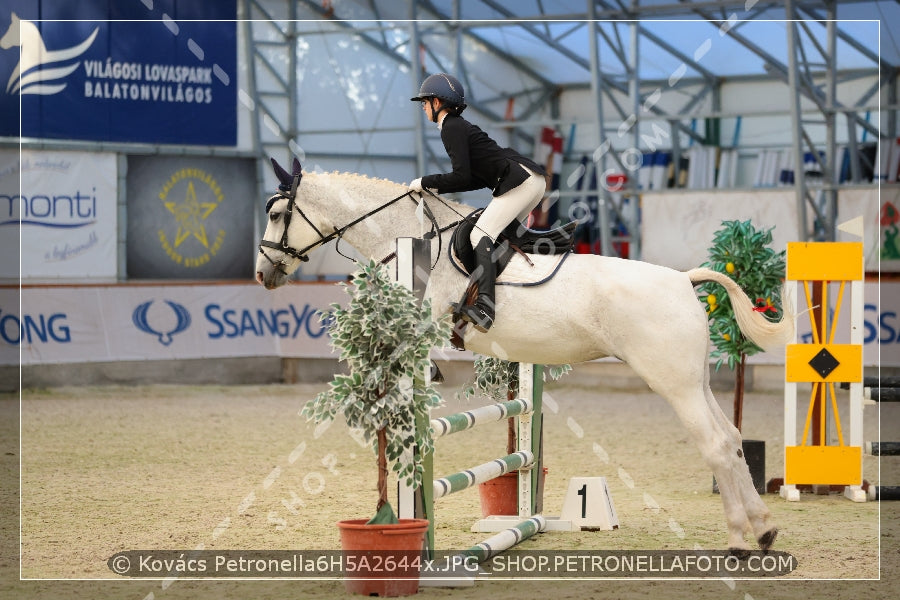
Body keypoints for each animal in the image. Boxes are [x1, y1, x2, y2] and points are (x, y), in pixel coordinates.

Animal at [255, 158, 796, 552]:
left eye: (278, 215)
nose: (263, 273)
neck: (408, 238)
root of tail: (684, 279)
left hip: (673, 384)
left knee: (717, 445)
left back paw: (739, 539)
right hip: (694, 380)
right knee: (732, 439)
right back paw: (765, 528)